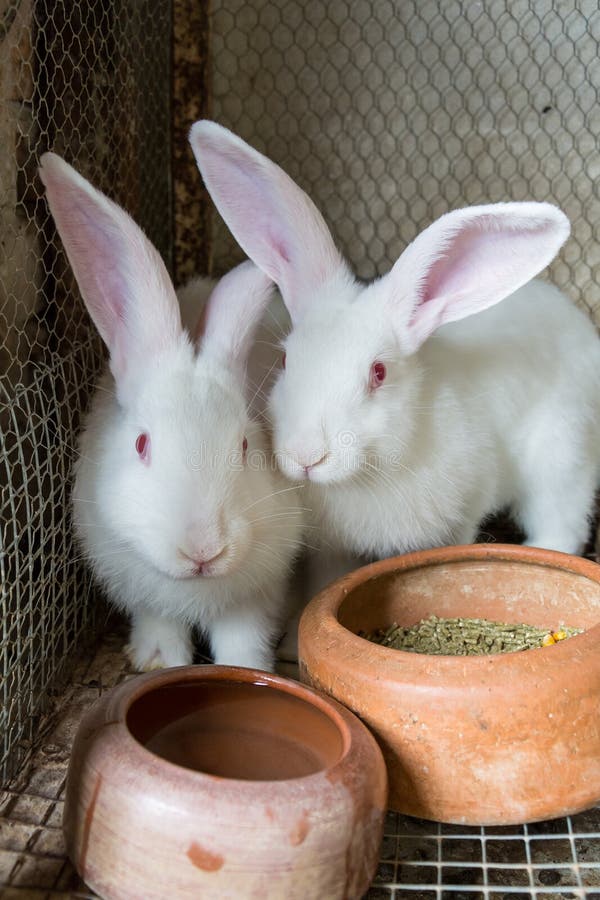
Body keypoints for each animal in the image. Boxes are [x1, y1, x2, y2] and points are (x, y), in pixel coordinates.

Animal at [39, 152, 304, 672]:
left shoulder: (256, 592)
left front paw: (248, 670)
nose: (204, 550)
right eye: (142, 444)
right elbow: (160, 624)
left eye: (246, 446)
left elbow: (243, 638)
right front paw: (158, 663)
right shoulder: (138, 585)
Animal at [188, 120, 600, 570]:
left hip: (562, 455)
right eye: (285, 360)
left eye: (378, 373)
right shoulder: (329, 551)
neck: (366, 475)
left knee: (562, 520)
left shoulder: (465, 511)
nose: (306, 457)